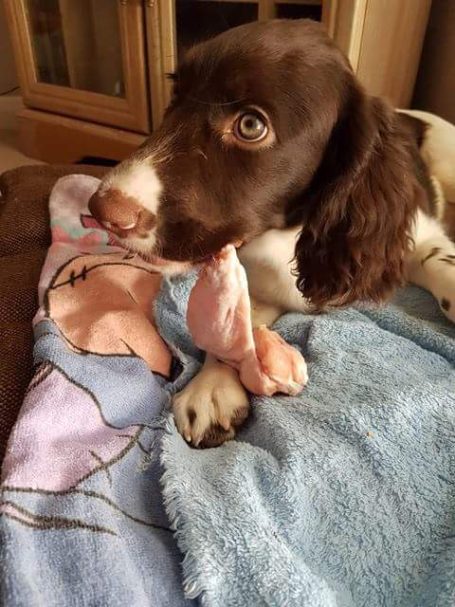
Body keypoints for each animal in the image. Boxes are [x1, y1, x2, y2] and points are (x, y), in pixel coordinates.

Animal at [90, 19, 455, 446]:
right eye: (176, 95)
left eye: (251, 125)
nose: (102, 211)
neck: (290, 231)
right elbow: (235, 320)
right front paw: (212, 386)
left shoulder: (412, 235)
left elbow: (437, 258)